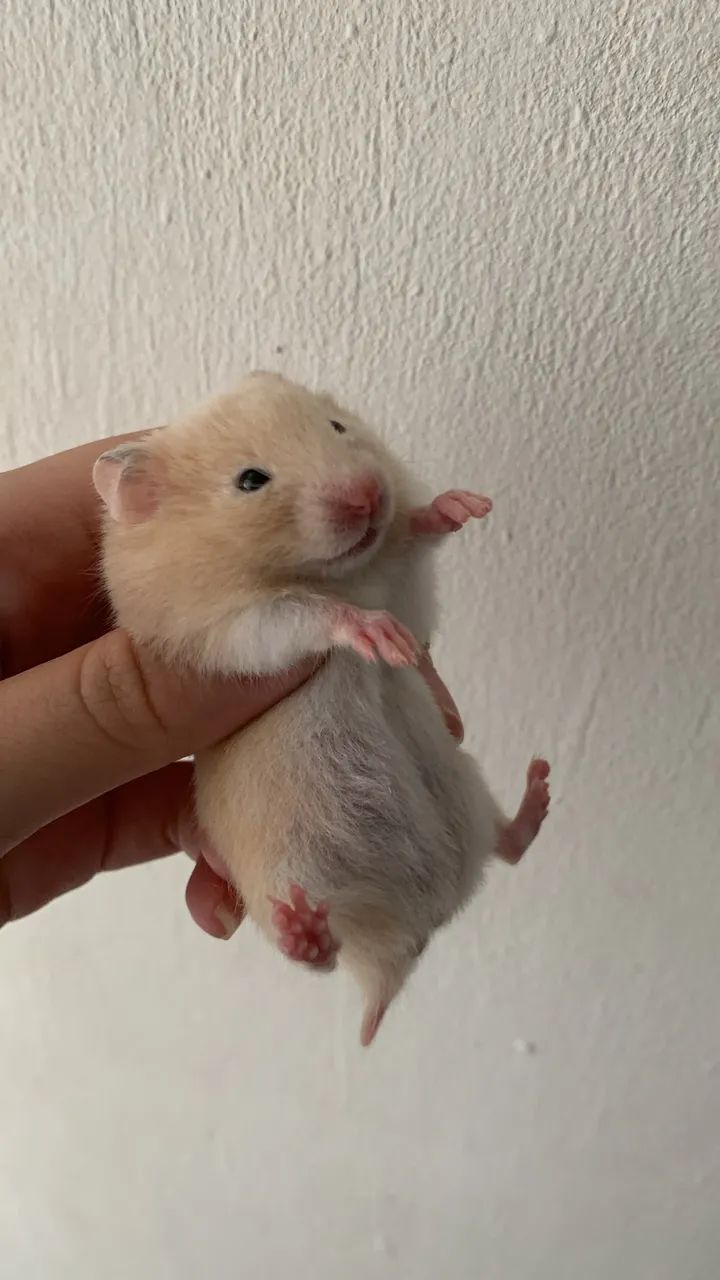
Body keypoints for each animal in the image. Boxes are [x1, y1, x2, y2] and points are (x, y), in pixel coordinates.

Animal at [93, 372, 550, 1045]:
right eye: (250, 480)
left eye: (337, 426)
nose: (368, 493)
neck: (342, 573)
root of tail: (414, 937)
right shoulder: (230, 633)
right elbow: (303, 613)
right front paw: (377, 634)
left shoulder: (401, 579)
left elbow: (412, 539)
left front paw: (463, 506)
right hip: (289, 868)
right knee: (324, 958)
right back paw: (303, 932)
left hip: (465, 787)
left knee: (505, 847)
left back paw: (540, 790)